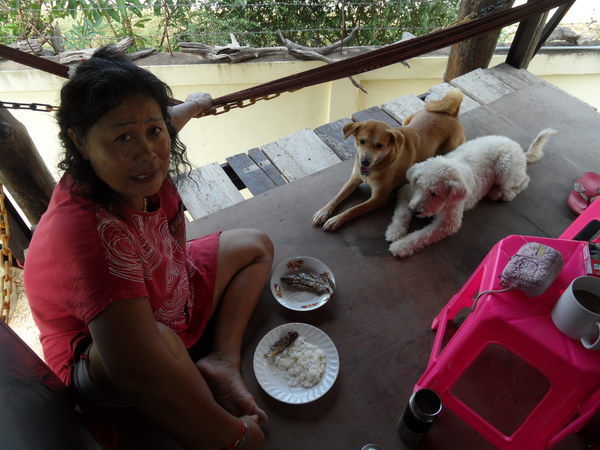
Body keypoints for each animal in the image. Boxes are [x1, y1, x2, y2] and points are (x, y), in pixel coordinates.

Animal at [312, 88, 466, 230]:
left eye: (379, 145)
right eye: (362, 141)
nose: (364, 161)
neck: (375, 168)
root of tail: (451, 114)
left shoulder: (377, 199)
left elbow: (353, 210)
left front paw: (336, 219)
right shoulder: (353, 180)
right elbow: (337, 196)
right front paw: (323, 212)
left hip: (451, 145)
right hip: (407, 120)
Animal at [384, 128, 556, 258]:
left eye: (435, 194)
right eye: (419, 187)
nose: (415, 211)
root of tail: (519, 149)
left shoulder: (448, 222)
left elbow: (421, 236)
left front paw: (401, 245)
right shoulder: (407, 191)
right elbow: (401, 212)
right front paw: (394, 231)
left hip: (505, 167)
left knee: (523, 180)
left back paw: (503, 193)